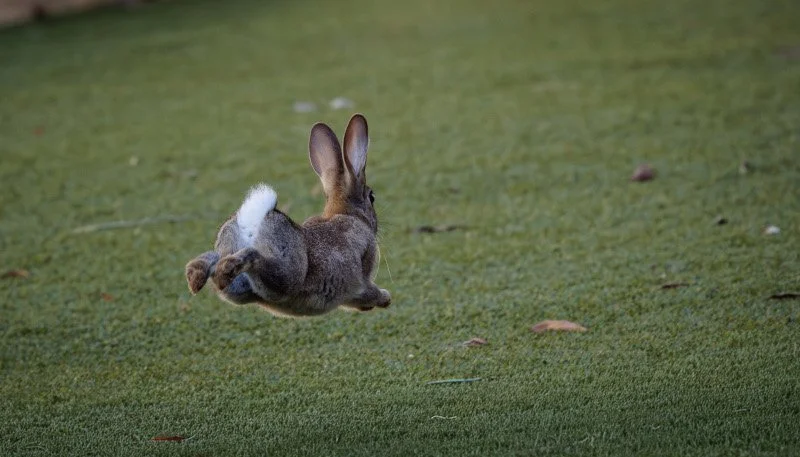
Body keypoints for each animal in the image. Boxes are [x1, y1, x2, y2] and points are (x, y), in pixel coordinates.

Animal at [184, 113, 391, 317]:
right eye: (372, 197)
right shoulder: (360, 279)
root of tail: (252, 220)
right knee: (254, 257)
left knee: (217, 267)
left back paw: (196, 275)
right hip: (287, 275)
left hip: (240, 282)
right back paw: (222, 270)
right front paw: (385, 298)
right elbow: (366, 291)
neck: (348, 213)